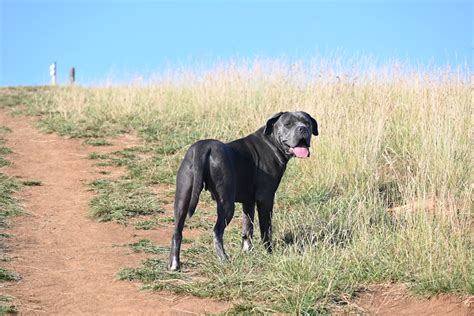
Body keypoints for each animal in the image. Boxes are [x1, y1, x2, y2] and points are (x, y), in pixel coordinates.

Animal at [168, 111, 318, 272]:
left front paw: (247, 251)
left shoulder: (248, 202)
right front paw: (269, 252)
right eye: (288, 124)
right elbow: (266, 229)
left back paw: (174, 264)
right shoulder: (266, 199)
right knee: (217, 231)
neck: (271, 142)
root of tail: (203, 148)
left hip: (182, 199)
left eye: (307, 122)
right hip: (227, 205)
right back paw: (224, 259)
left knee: (177, 232)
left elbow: (248, 227)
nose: (303, 129)